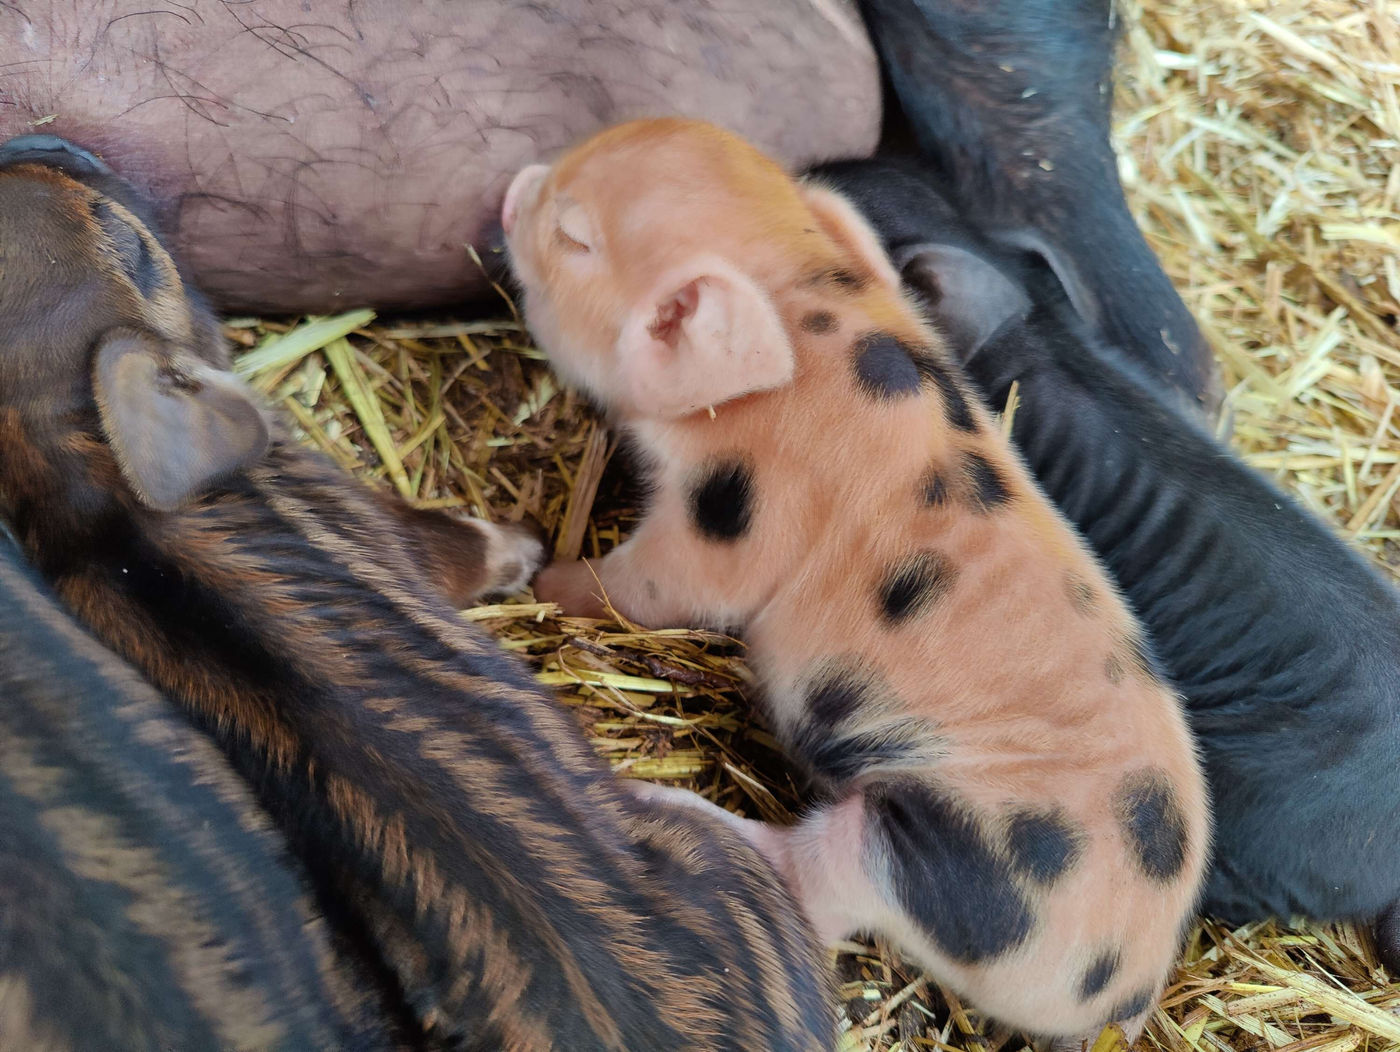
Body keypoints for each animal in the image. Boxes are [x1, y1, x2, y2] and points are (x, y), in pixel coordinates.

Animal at [503, 117, 1210, 1046]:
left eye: (574, 236)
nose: (512, 188)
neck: (805, 299)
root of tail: (1126, 989)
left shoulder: (738, 520)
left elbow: (661, 585)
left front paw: (549, 580)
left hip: (936, 855)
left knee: (818, 888)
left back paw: (672, 811)